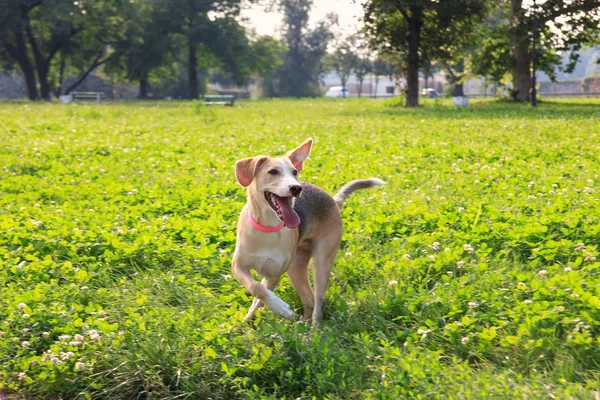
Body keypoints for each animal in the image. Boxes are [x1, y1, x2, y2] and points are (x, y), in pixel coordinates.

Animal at [232, 138, 382, 324]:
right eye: (273, 172)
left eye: (294, 172)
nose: (296, 188)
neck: (268, 227)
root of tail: (333, 201)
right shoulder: (238, 266)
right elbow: (256, 289)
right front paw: (249, 321)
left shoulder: (273, 275)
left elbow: (261, 294)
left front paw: (280, 309)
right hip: (295, 268)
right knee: (308, 298)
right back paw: (301, 324)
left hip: (321, 262)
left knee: (317, 302)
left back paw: (313, 329)